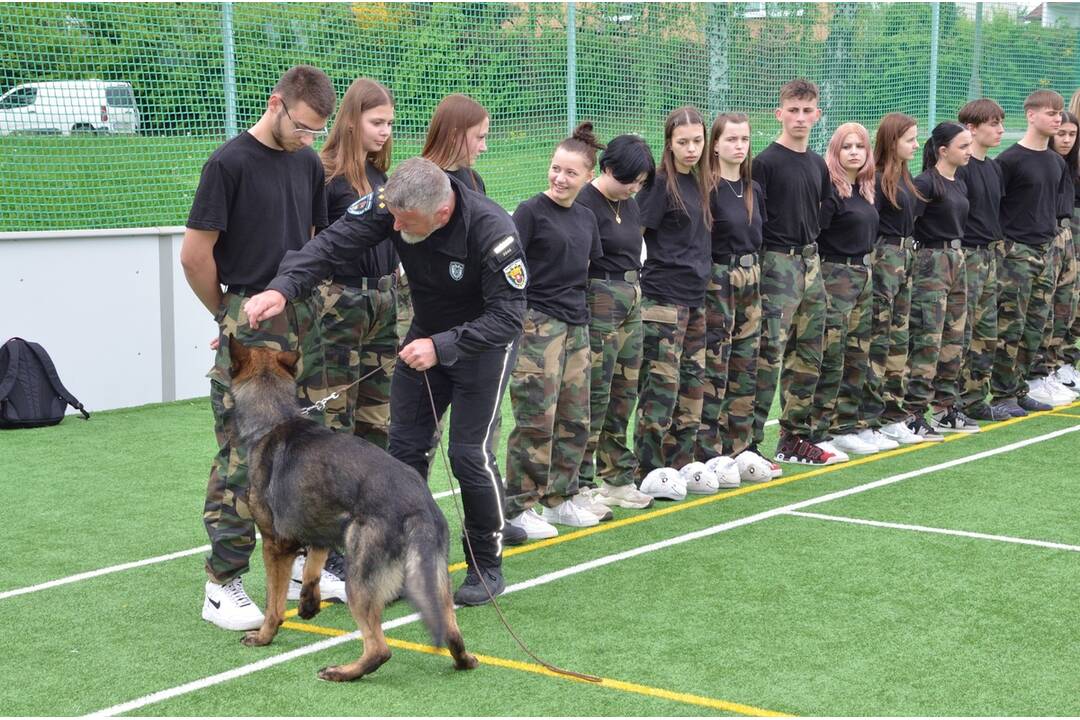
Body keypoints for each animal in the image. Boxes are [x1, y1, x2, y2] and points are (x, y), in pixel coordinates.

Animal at [227, 338, 477, 682]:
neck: (274, 419)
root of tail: (418, 504)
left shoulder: (275, 544)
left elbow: (273, 601)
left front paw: (265, 635)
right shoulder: (321, 527)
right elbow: (313, 565)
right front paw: (308, 603)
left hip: (359, 579)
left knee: (379, 649)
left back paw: (343, 672)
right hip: (434, 580)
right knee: (452, 633)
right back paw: (463, 660)